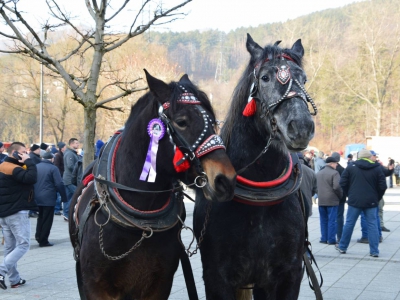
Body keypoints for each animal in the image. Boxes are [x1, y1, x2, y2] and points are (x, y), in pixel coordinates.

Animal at [70, 71, 236, 300]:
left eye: (212, 122)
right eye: (181, 121)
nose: (225, 179)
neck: (139, 223)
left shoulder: (159, 283)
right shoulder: (95, 286)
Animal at [193, 34, 316, 298]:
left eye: (303, 79)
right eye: (265, 77)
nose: (301, 126)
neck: (260, 202)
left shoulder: (287, 276)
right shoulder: (218, 277)